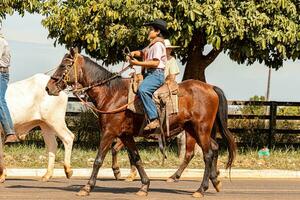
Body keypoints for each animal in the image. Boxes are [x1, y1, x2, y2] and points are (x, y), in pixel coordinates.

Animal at [45, 48, 237, 197]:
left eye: (64, 65)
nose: (48, 87)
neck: (111, 93)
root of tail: (211, 88)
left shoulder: (109, 132)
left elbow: (98, 159)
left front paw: (86, 188)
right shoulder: (125, 136)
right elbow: (136, 158)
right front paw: (144, 185)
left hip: (201, 128)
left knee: (207, 154)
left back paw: (200, 189)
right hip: (194, 129)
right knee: (214, 148)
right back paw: (215, 181)